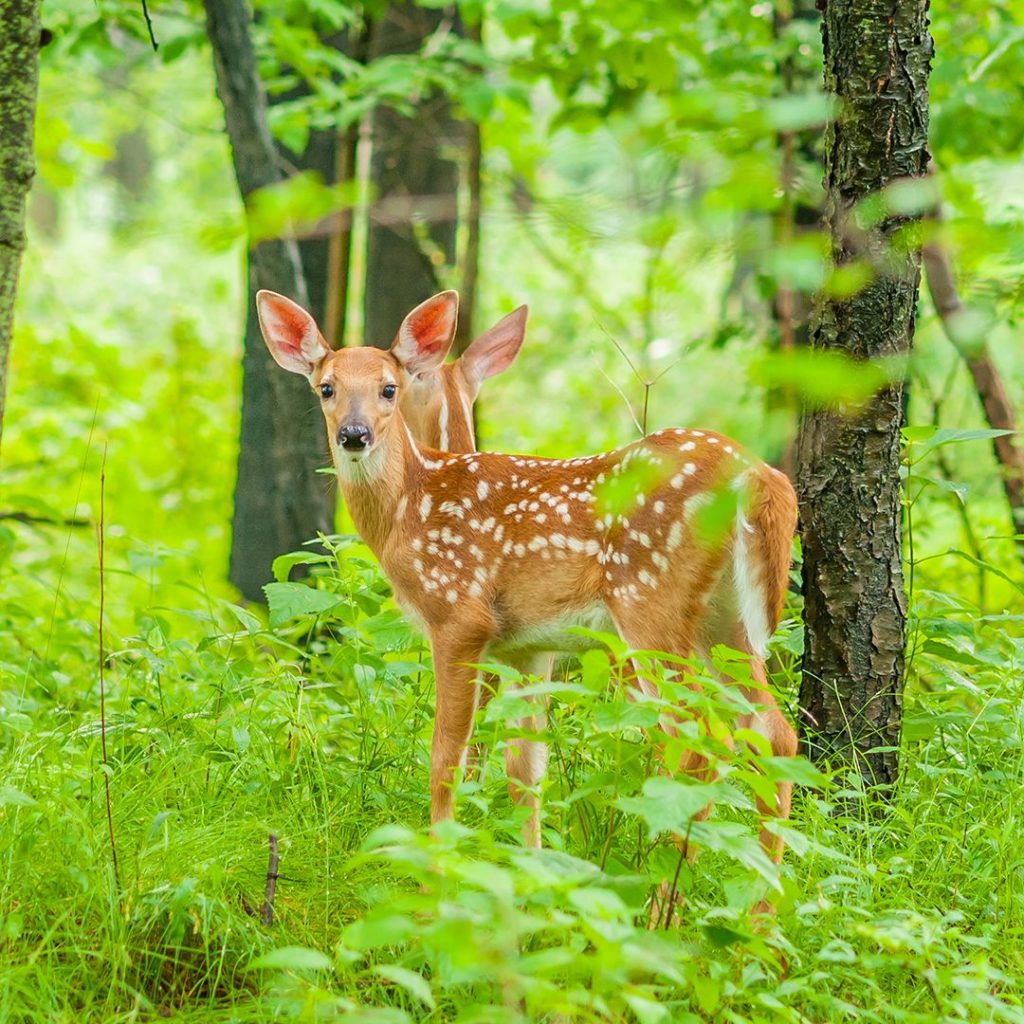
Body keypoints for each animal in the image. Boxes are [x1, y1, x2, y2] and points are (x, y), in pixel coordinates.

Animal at [256, 288, 800, 896]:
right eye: (326, 387)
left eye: (388, 388)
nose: (354, 435)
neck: (408, 508)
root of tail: (759, 478)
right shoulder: (527, 647)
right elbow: (525, 770)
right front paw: (534, 882)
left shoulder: (459, 615)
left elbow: (446, 759)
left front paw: (434, 880)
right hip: (726, 621)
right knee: (774, 734)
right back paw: (760, 905)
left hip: (650, 603)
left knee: (703, 739)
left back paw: (663, 902)